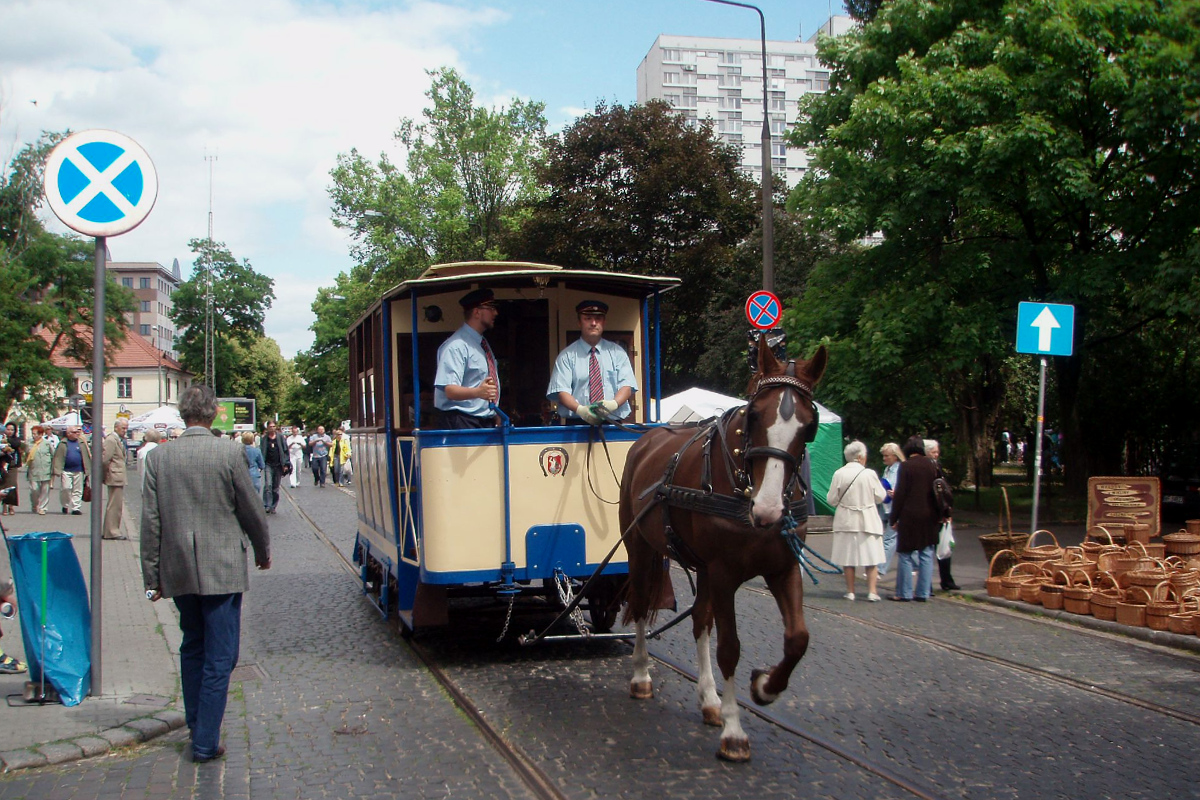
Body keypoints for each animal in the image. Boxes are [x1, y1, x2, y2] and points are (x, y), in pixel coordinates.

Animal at [619, 338, 825, 762]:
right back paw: (642, 674)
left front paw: (764, 687)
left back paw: (709, 699)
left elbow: (798, 638)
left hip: (701, 567)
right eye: (755, 415)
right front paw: (734, 731)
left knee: (700, 620)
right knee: (641, 604)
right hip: (640, 549)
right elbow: (730, 648)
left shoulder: (782, 568)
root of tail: (646, 440)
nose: (768, 510)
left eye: (808, 425)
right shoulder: (725, 573)